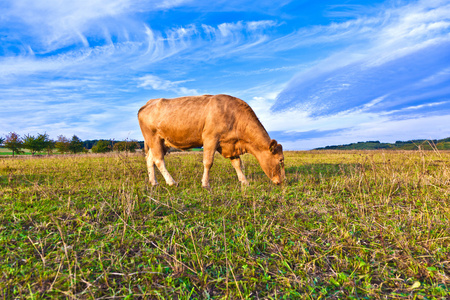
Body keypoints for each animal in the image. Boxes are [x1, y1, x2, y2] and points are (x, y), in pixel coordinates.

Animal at [137, 94, 284, 188]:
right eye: (281, 160)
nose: (283, 181)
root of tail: (149, 102)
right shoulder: (210, 138)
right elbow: (208, 162)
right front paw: (205, 184)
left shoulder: (230, 144)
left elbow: (237, 164)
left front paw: (244, 182)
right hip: (154, 138)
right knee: (158, 160)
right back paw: (171, 182)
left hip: (161, 142)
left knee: (150, 159)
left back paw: (154, 182)